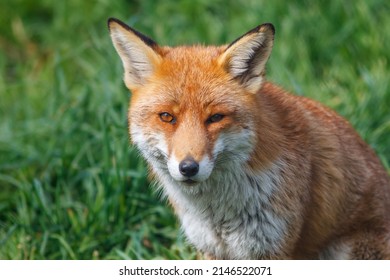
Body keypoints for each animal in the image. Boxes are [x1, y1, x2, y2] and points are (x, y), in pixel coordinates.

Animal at [108, 17, 390, 258]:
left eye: (216, 117)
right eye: (167, 117)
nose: (188, 168)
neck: (218, 214)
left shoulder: (272, 248)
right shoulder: (212, 249)